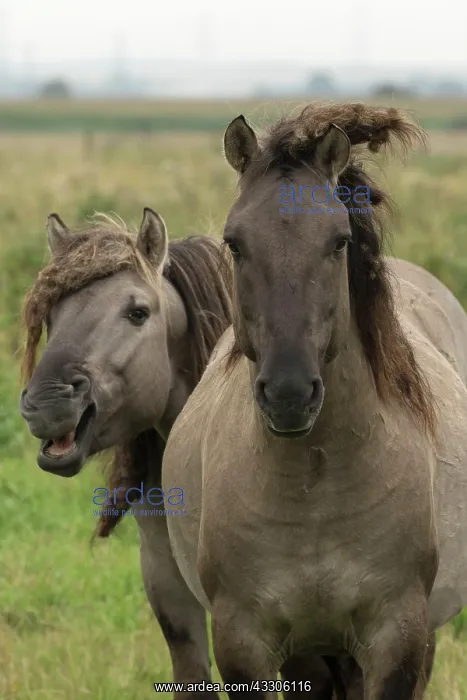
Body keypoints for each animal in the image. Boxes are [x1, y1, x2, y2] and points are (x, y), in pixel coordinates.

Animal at [162, 103, 467, 699]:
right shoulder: (244, 641)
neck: (315, 490)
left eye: (339, 241)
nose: (288, 393)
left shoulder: (398, 635)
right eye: (235, 242)